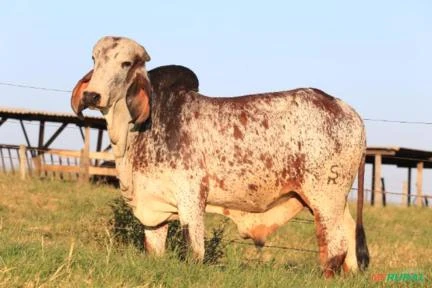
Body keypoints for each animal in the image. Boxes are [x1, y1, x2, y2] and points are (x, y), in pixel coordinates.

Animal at [71, 36, 368, 276]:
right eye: (94, 59)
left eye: (126, 63)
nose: (92, 95)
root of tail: (346, 109)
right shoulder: (154, 207)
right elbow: (155, 250)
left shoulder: (191, 197)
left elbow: (195, 251)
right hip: (337, 202)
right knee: (349, 236)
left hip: (325, 199)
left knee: (335, 249)